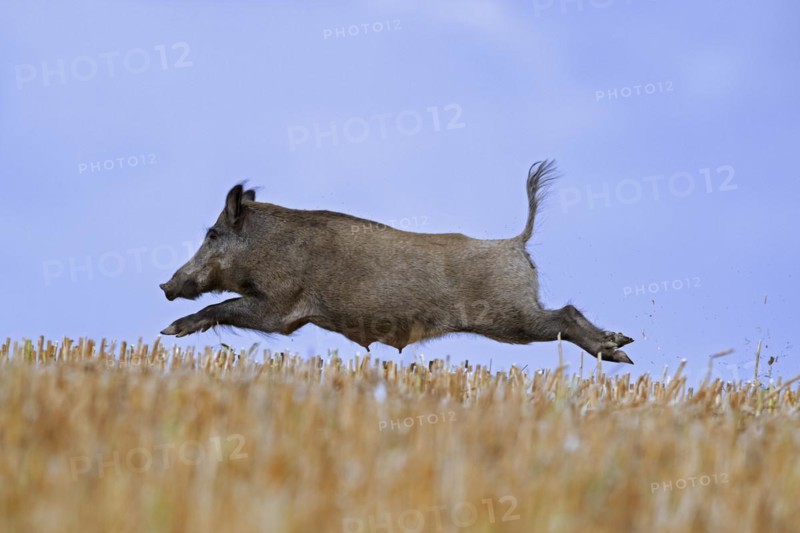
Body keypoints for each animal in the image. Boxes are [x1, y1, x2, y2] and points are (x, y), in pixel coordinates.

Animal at [160, 160, 634, 363]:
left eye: (212, 234)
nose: (166, 286)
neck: (267, 247)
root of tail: (517, 242)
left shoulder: (282, 310)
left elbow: (221, 307)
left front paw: (169, 333)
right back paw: (621, 345)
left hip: (509, 315)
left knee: (565, 314)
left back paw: (617, 352)